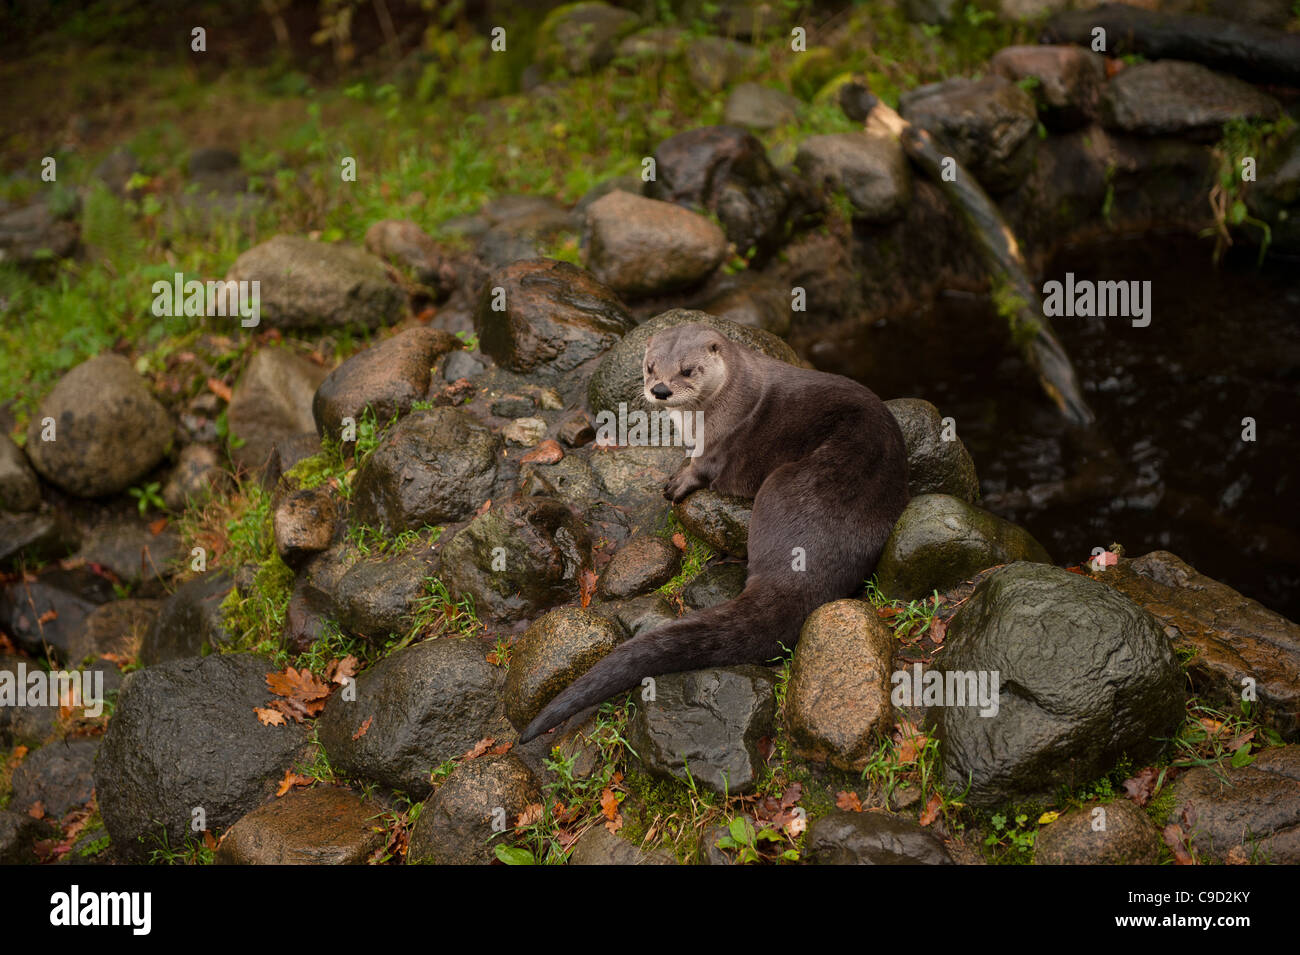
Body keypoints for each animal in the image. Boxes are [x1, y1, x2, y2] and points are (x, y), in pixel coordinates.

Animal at [519, 324, 909, 743]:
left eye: (687, 370)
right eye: (650, 366)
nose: (660, 390)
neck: (715, 410)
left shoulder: (721, 441)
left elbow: (702, 468)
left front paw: (678, 481)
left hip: (786, 484)